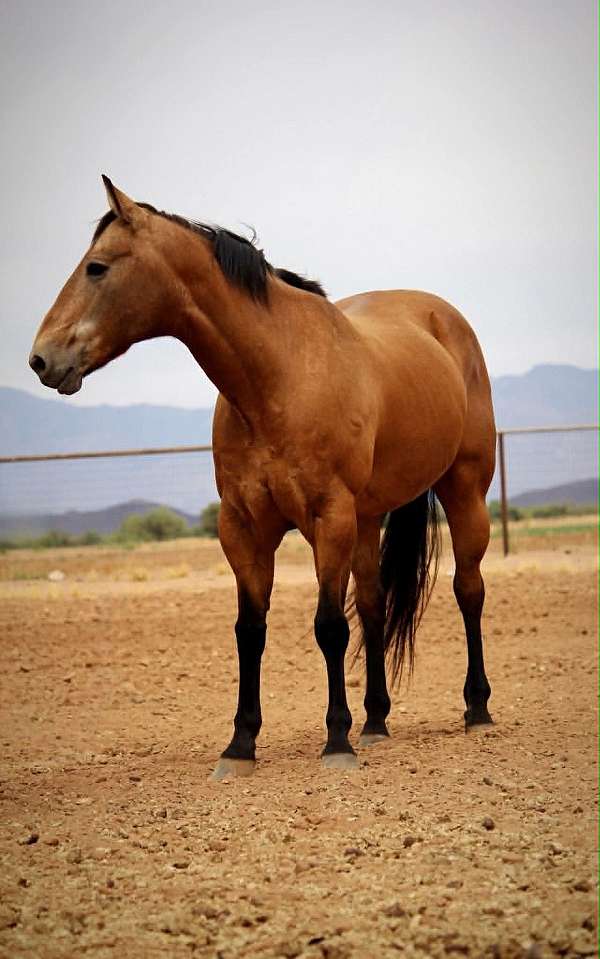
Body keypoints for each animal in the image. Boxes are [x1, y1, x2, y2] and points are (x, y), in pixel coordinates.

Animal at [29, 176, 496, 779]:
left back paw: (476, 709)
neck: (278, 377)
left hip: (464, 490)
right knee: (373, 606)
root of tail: (442, 320)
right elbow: (250, 632)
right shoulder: (244, 528)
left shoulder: (328, 518)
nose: (41, 359)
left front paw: (336, 742)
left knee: (468, 590)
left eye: (97, 267)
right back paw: (375, 722)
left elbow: (329, 626)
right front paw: (240, 745)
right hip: (369, 518)